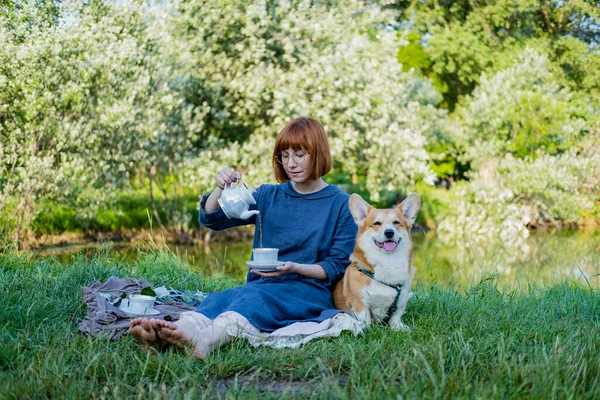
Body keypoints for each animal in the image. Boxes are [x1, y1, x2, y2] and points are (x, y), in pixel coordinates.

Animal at [332, 192, 422, 330]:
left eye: (396, 222)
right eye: (377, 223)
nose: (389, 232)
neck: (388, 261)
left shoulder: (401, 300)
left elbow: (396, 315)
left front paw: (399, 327)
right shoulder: (360, 303)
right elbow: (365, 318)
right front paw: (367, 329)